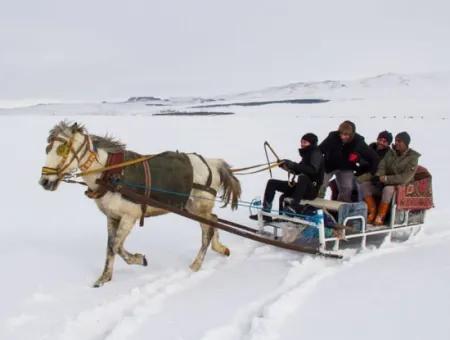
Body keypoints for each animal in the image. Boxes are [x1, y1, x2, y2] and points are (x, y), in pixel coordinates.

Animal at [40, 122, 241, 286]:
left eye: (62, 149)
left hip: (199, 207)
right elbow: (110, 247)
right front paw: (104, 278)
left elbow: (116, 247)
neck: (110, 173)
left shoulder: (130, 216)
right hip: (193, 207)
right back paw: (220, 249)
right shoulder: (112, 217)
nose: (44, 181)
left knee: (207, 230)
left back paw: (196, 264)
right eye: (47, 148)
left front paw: (138, 259)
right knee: (213, 220)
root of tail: (213, 163)